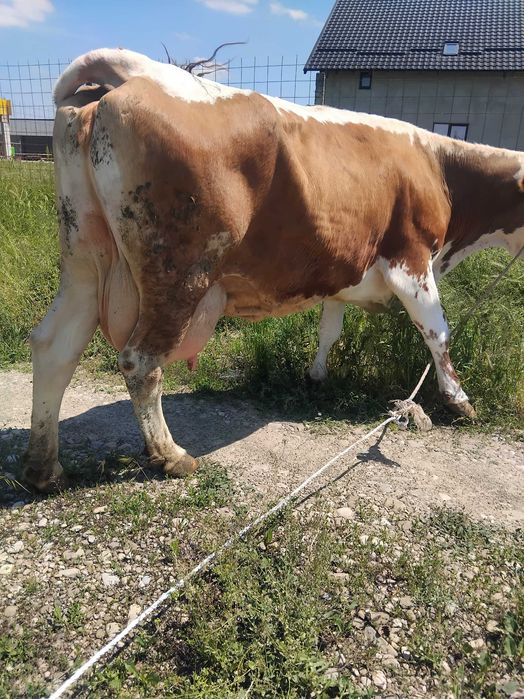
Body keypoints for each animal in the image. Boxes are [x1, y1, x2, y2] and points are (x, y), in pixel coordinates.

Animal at [23, 48, 524, 492]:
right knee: (139, 360)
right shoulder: (411, 260)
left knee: (53, 347)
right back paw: (171, 456)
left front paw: (317, 376)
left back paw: (45, 469)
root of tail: (138, 72)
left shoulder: (342, 274)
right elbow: (438, 334)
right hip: (179, 272)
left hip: (84, 260)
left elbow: (330, 330)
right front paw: (459, 400)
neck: (439, 167)